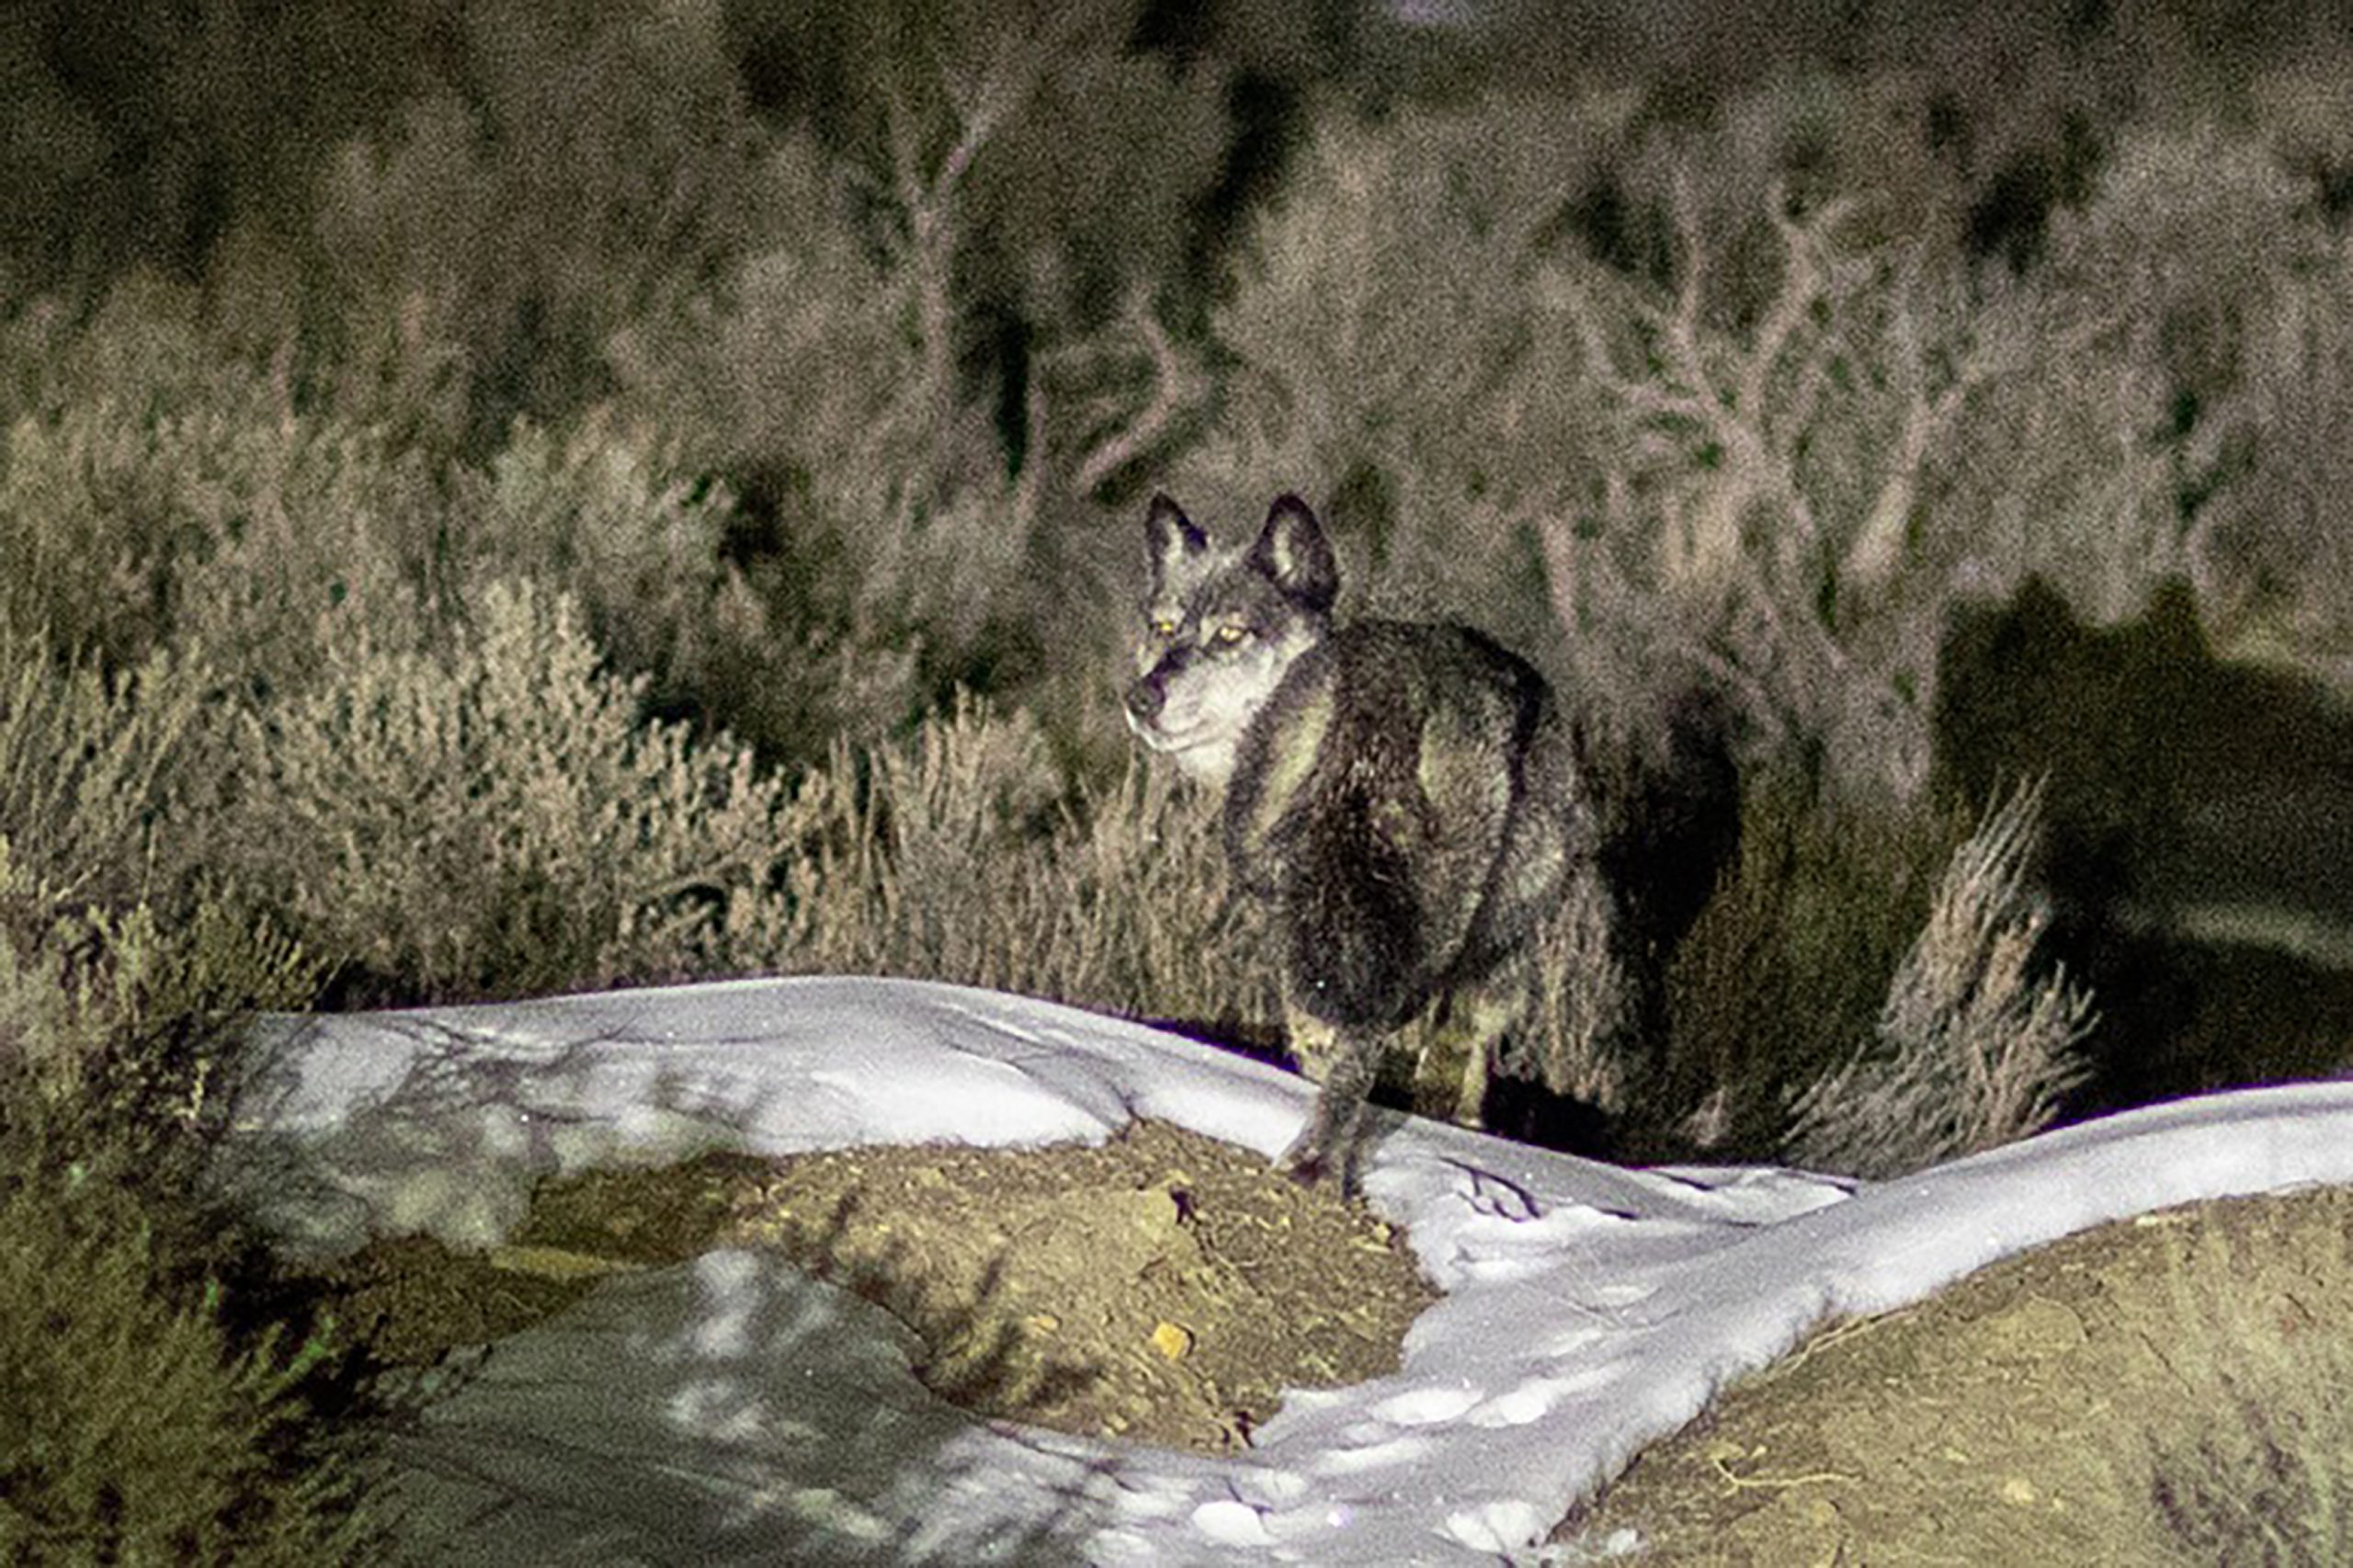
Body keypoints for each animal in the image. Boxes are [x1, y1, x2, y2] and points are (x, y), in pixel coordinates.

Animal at [1120, 494, 1732, 1191]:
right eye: (1165, 627)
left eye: (1229, 634)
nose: (1141, 697)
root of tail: (1382, 675)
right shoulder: (1495, 945)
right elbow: (1462, 1056)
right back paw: (1327, 1159)